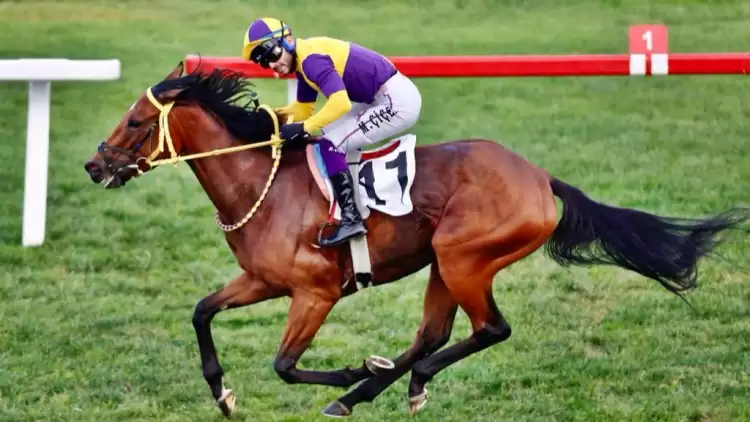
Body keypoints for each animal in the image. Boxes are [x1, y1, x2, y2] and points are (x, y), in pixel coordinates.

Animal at [83, 61, 749, 418]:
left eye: (136, 122)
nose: (94, 166)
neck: (261, 185)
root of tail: (539, 177)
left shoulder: (316, 292)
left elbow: (285, 365)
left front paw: (347, 369)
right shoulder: (261, 280)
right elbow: (201, 312)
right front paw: (223, 393)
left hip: (464, 257)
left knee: (488, 330)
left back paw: (385, 382)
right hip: (442, 264)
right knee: (434, 334)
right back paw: (373, 388)